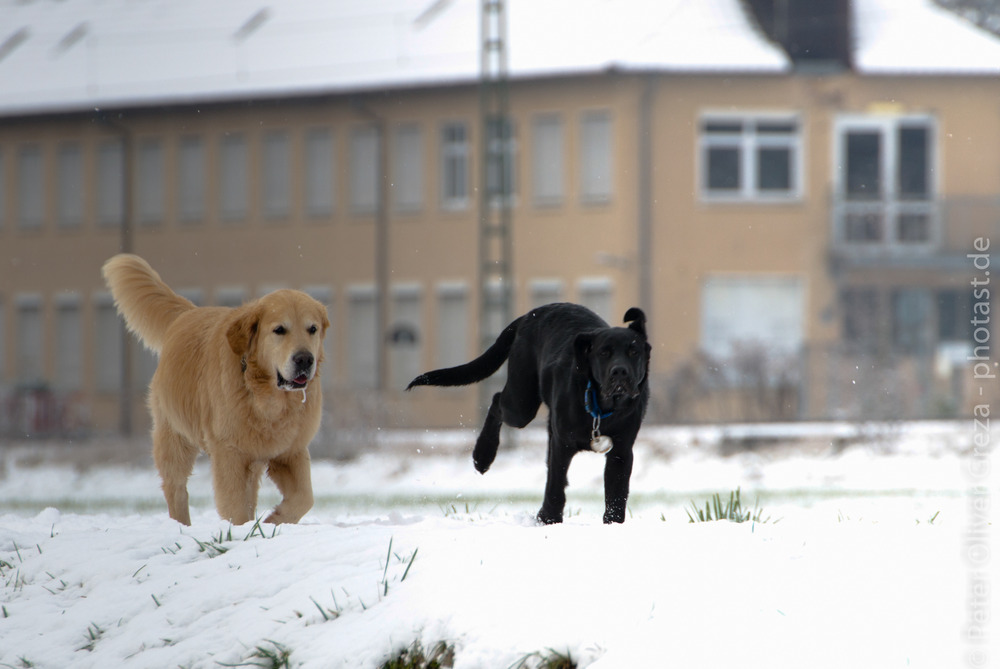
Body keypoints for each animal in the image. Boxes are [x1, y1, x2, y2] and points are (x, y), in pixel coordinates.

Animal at [408, 302, 652, 520]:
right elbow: (556, 484)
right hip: (521, 404)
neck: (603, 408)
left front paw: (613, 524)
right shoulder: (563, 443)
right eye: (604, 353)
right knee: (496, 401)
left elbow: (616, 494)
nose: (619, 371)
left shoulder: (621, 450)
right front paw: (550, 519)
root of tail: (530, 314)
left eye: (633, 351)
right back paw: (482, 456)